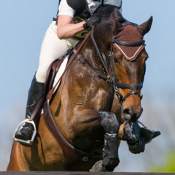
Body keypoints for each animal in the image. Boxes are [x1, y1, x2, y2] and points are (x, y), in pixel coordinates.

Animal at [6, 9, 152, 171]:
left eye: (145, 58)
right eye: (116, 59)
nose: (133, 111)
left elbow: (125, 128)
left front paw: (130, 139)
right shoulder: (72, 123)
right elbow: (109, 118)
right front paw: (110, 157)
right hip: (19, 164)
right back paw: (25, 130)